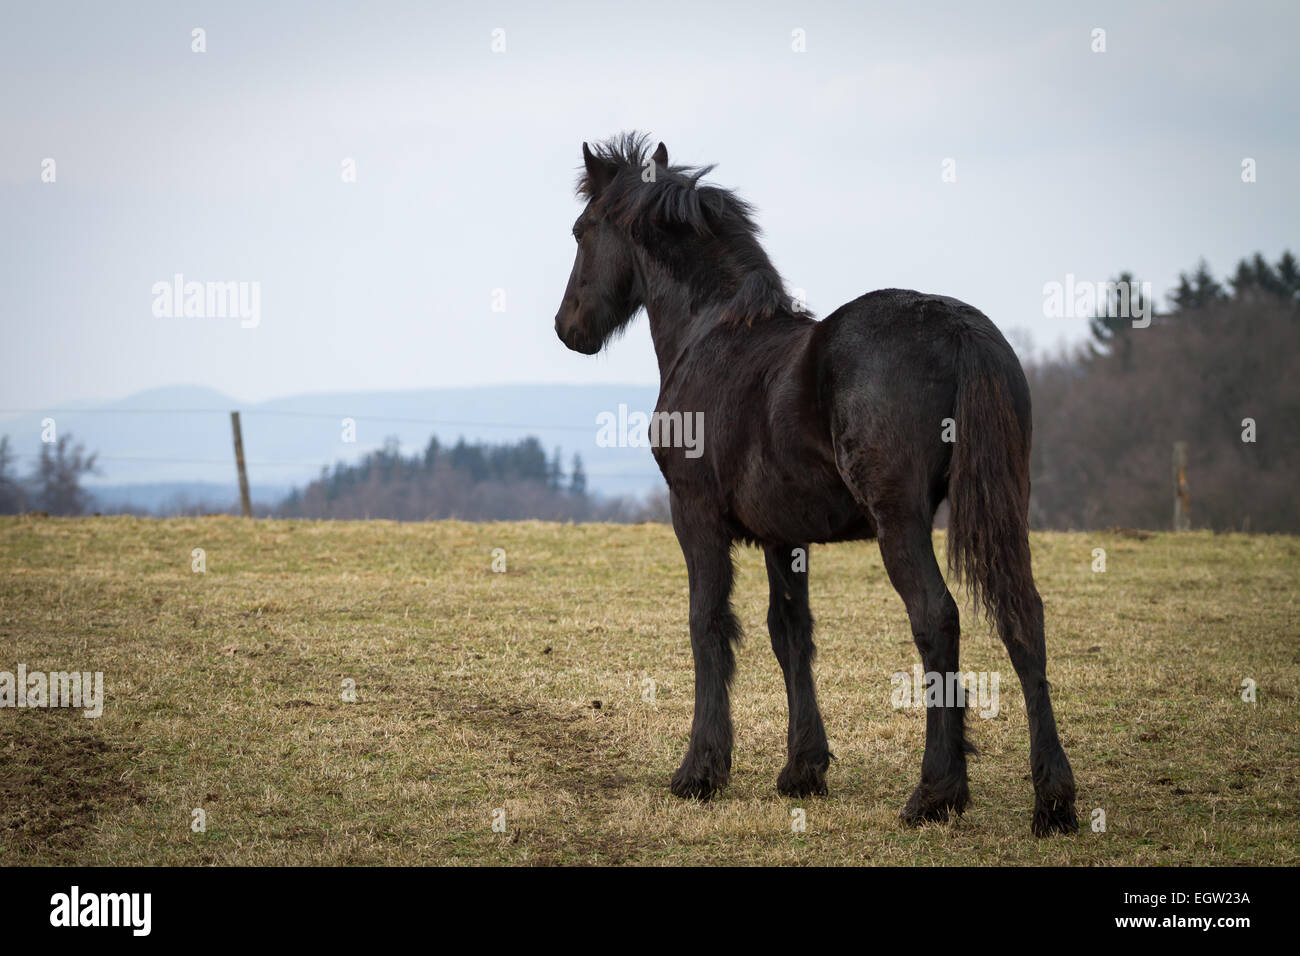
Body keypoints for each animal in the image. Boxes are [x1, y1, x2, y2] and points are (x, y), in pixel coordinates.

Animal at [553, 133, 1077, 836]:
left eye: (582, 231)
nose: (568, 328)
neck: (713, 335)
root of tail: (957, 326)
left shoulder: (694, 516)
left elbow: (707, 623)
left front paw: (700, 771)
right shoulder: (784, 536)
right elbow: (790, 632)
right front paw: (803, 769)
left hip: (900, 520)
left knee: (936, 617)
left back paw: (935, 793)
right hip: (1005, 509)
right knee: (1024, 617)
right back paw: (1053, 800)